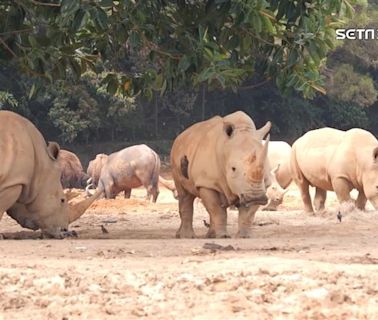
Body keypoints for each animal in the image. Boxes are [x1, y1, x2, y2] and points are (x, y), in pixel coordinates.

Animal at [170, 110, 270, 238]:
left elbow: (248, 214)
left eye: (264, 168)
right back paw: (187, 236)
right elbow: (217, 210)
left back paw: (209, 235)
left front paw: (244, 236)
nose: (256, 197)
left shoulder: (259, 186)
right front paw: (223, 236)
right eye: (233, 169)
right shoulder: (206, 182)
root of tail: (181, 136)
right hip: (176, 158)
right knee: (185, 195)